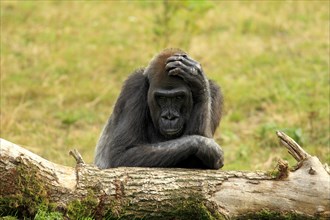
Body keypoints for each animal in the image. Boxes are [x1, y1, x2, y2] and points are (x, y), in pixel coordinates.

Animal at [94, 47, 224, 168]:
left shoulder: (214, 90)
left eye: (178, 97)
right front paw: (205, 145)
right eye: (162, 98)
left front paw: (196, 79)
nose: (169, 117)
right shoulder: (134, 86)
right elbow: (123, 153)